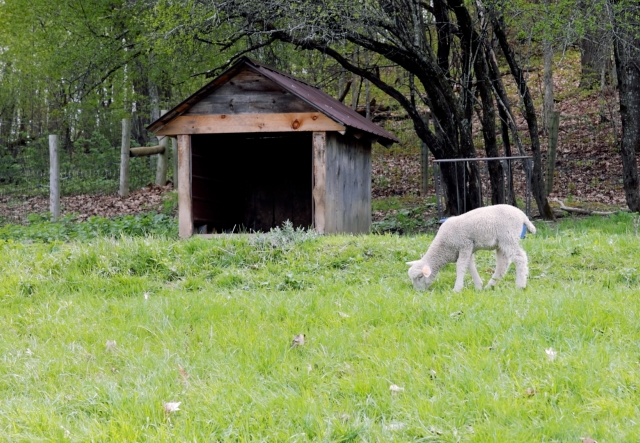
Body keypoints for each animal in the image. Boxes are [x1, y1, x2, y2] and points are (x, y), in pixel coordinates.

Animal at [406, 204, 536, 292]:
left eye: (420, 277)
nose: (418, 292)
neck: (443, 247)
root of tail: (522, 215)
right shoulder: (468, 248)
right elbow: (470, 265)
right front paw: (478, 286)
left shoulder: (465, 245)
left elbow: (460, 266)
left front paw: (457, 289)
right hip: (501, 243)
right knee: (502, 264)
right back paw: (490, 285)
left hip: (508, 237)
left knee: (520, 258)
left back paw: (520, 285)